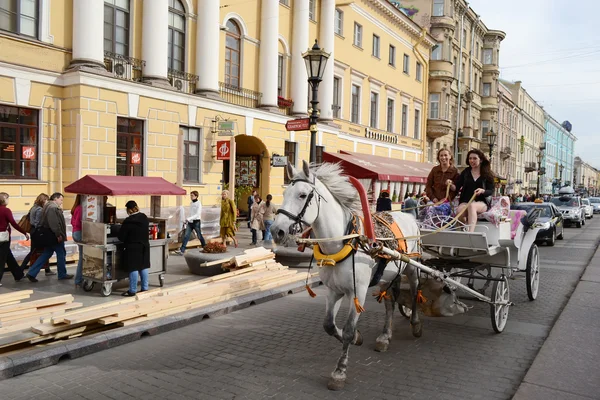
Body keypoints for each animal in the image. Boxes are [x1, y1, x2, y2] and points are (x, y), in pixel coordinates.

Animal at [272, 160, 422, 390]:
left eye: (302, 195)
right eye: (285, 192)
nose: (276, 231)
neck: (344, 241)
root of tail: (408, 215)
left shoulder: (357, 291)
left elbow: (349, 328)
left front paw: (339, 371)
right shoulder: (334, 291)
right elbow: (329, 325)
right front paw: (357, 339)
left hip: (411, 268)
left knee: (414, 292)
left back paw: (415, 324)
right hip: (387, 276)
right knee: (390, 302)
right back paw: (385, 336)